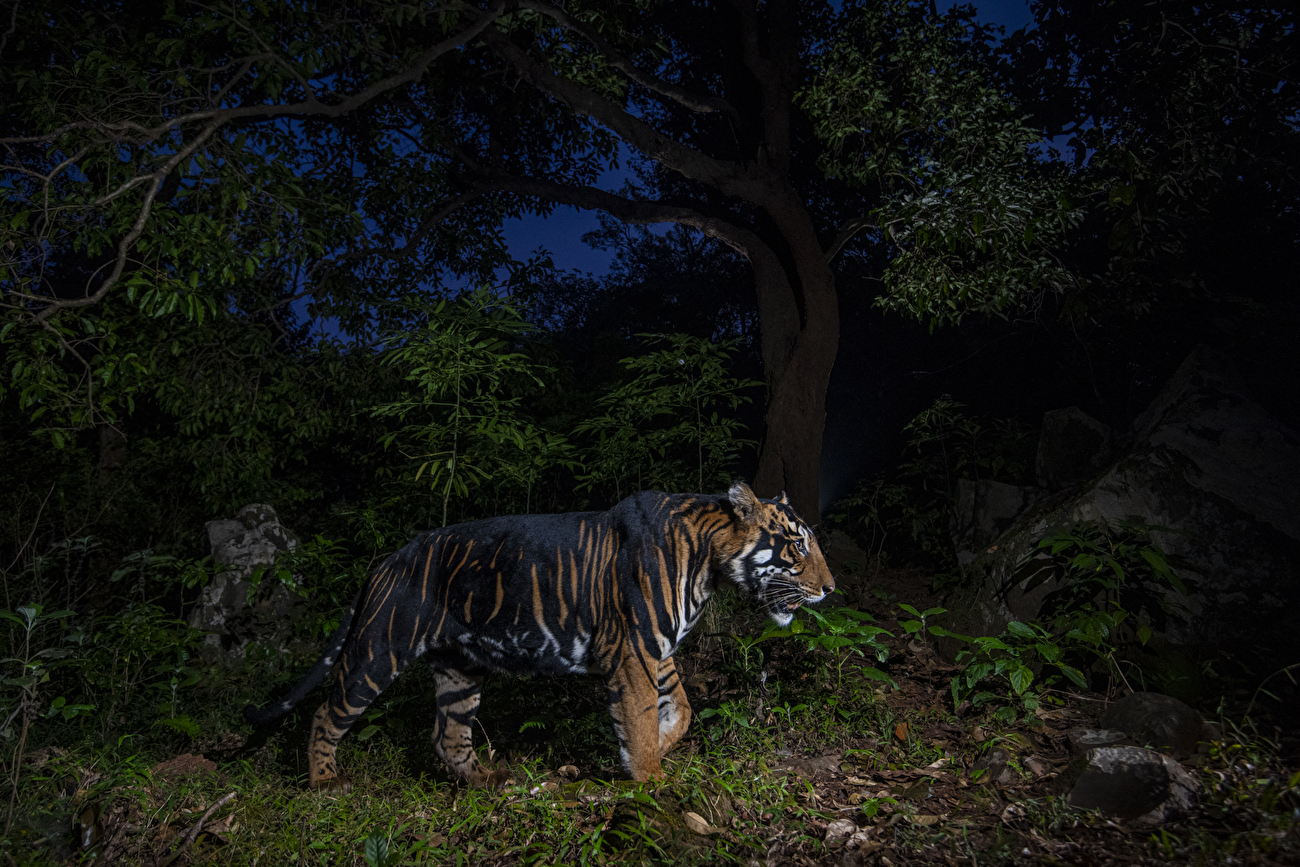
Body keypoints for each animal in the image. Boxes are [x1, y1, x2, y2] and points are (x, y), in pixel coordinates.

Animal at [243, 481, 834, 791]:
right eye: (797, 546)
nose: (831, 589)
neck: (709, 564)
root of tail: (389, 558)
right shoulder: (635, 649)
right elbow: (641, 718)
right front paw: (650, 778)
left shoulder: (654, 649)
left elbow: (681, 709)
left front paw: (662, 746)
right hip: (377, 650)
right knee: (327, 711)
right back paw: (324, 782)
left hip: (460, 669)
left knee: (448, 735)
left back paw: (488, 781)